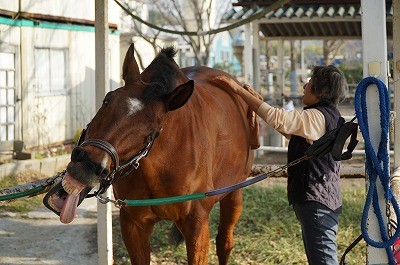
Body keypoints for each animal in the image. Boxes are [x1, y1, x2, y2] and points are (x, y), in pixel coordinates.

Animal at [44, 44, 260, 262]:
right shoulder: (133, 224)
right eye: (106, 100)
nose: (86, 166)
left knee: (224, 242)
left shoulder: (197, 225)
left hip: (233, 192)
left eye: (152, 131)